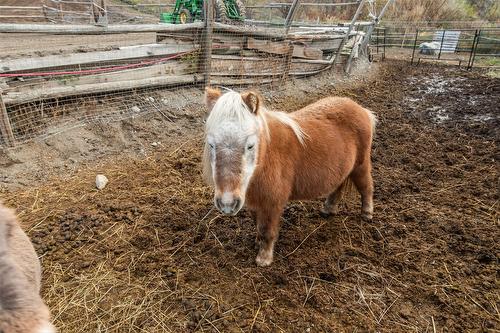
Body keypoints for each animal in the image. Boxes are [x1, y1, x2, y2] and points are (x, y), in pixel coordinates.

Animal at [202, 87, 376, 266]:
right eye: (211, 145)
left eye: (250, 145)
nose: (227, 203)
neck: (267, 155)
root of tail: (361, 109)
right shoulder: (255, 202)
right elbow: (257, 224)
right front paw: (257, 243)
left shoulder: (272, 203)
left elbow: (266, 230)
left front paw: (264, 259)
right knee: (338, 188)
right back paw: (328, 209)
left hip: (360, 167)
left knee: (366, 188)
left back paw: (367, 214)